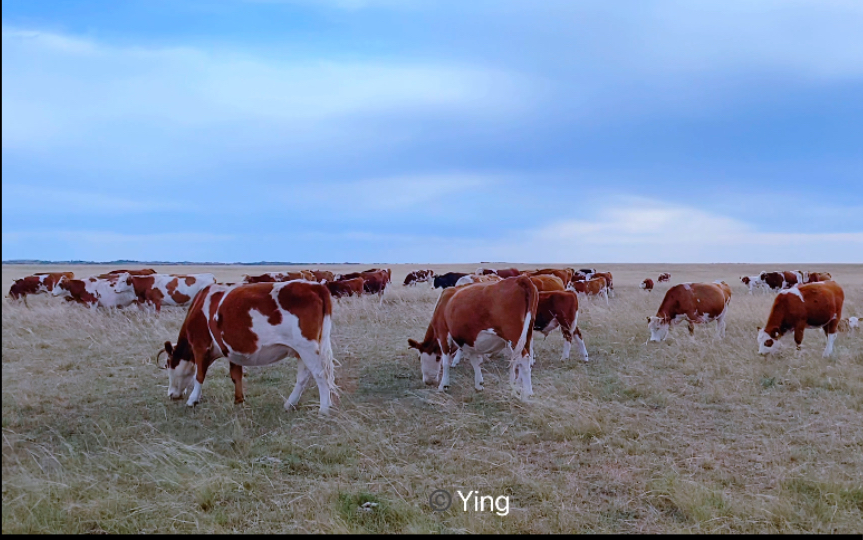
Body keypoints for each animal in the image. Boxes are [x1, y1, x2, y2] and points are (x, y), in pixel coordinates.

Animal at [157, 278, 340, 414]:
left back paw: (324, 409)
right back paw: (290, 404)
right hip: (300, 350)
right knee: (303, 376)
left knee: (320, 374)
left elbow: (199, 375)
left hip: (306, 347)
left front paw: (192, 399)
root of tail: (316, 286)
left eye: (168, 364)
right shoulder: (231, 350)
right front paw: (239, 400)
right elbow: (236, 375)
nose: (171, 394)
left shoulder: (200, 346)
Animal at [406, 276, 540, 398]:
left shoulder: (443, 334)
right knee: (524, 357)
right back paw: (519, 383)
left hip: (513, 335)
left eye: (420, 357)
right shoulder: (469, 340)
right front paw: (479, 384)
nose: (428, 381)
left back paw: (528, 392)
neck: (443, 303)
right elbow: (475, 361)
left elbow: (446, 361)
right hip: (527, 334)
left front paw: (443, 385)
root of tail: (520, 279)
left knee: (524, 359)